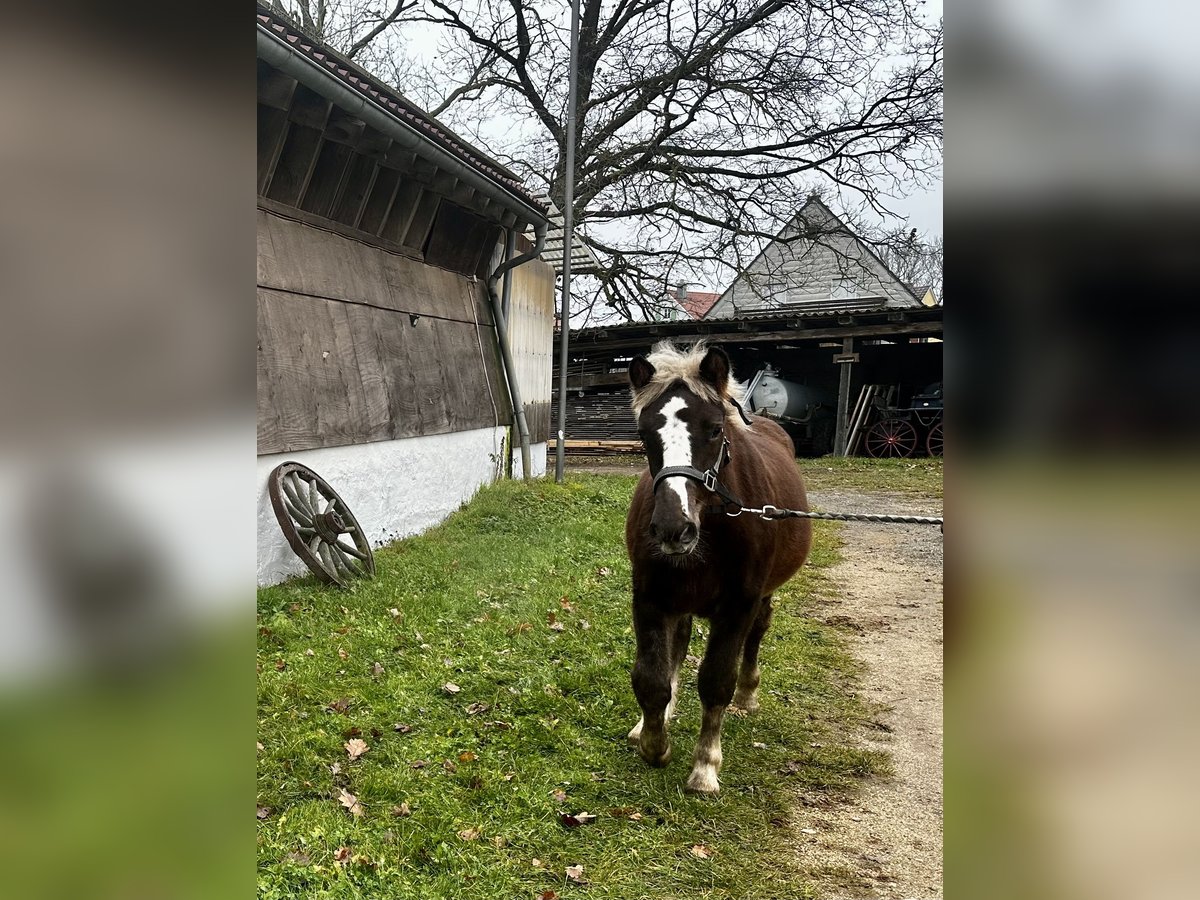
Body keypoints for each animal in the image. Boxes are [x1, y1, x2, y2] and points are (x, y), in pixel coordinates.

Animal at [624, 340, 811, 792]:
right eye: (644, 434)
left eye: (713, 430)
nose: (673, 528)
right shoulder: (650, 597)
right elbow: (651, 678)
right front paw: (654, 742)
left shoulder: (738, 605)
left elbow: (715, 682)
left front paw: (705, 767)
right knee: (679, 643)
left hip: (762, 596)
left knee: (758, 633)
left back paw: (748, 694)